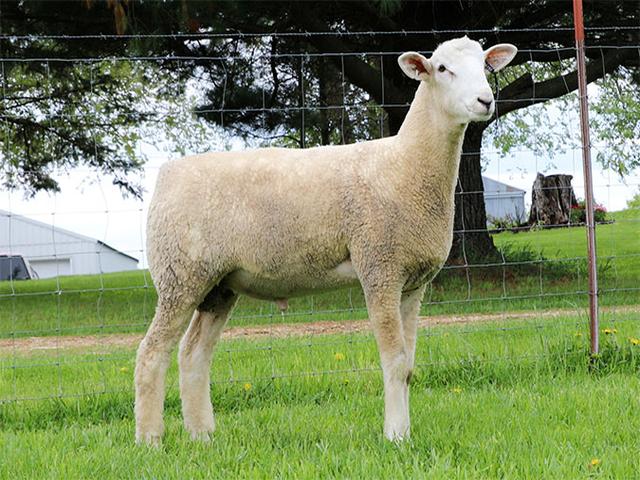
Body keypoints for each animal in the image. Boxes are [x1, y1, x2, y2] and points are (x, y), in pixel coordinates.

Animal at [134, 36, 517, 446]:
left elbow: (410, 365)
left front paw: (405, 431)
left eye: (485, 65)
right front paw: (395, 435)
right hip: (180, 274)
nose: (485, 101)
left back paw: (202, 436)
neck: (405, 166)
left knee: (193, 353)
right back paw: (150, 441)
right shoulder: (379, 268)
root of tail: (167, 174)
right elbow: (395, 361)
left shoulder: (413, 283)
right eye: (442, 69)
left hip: (218, 284)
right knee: (151, 353)